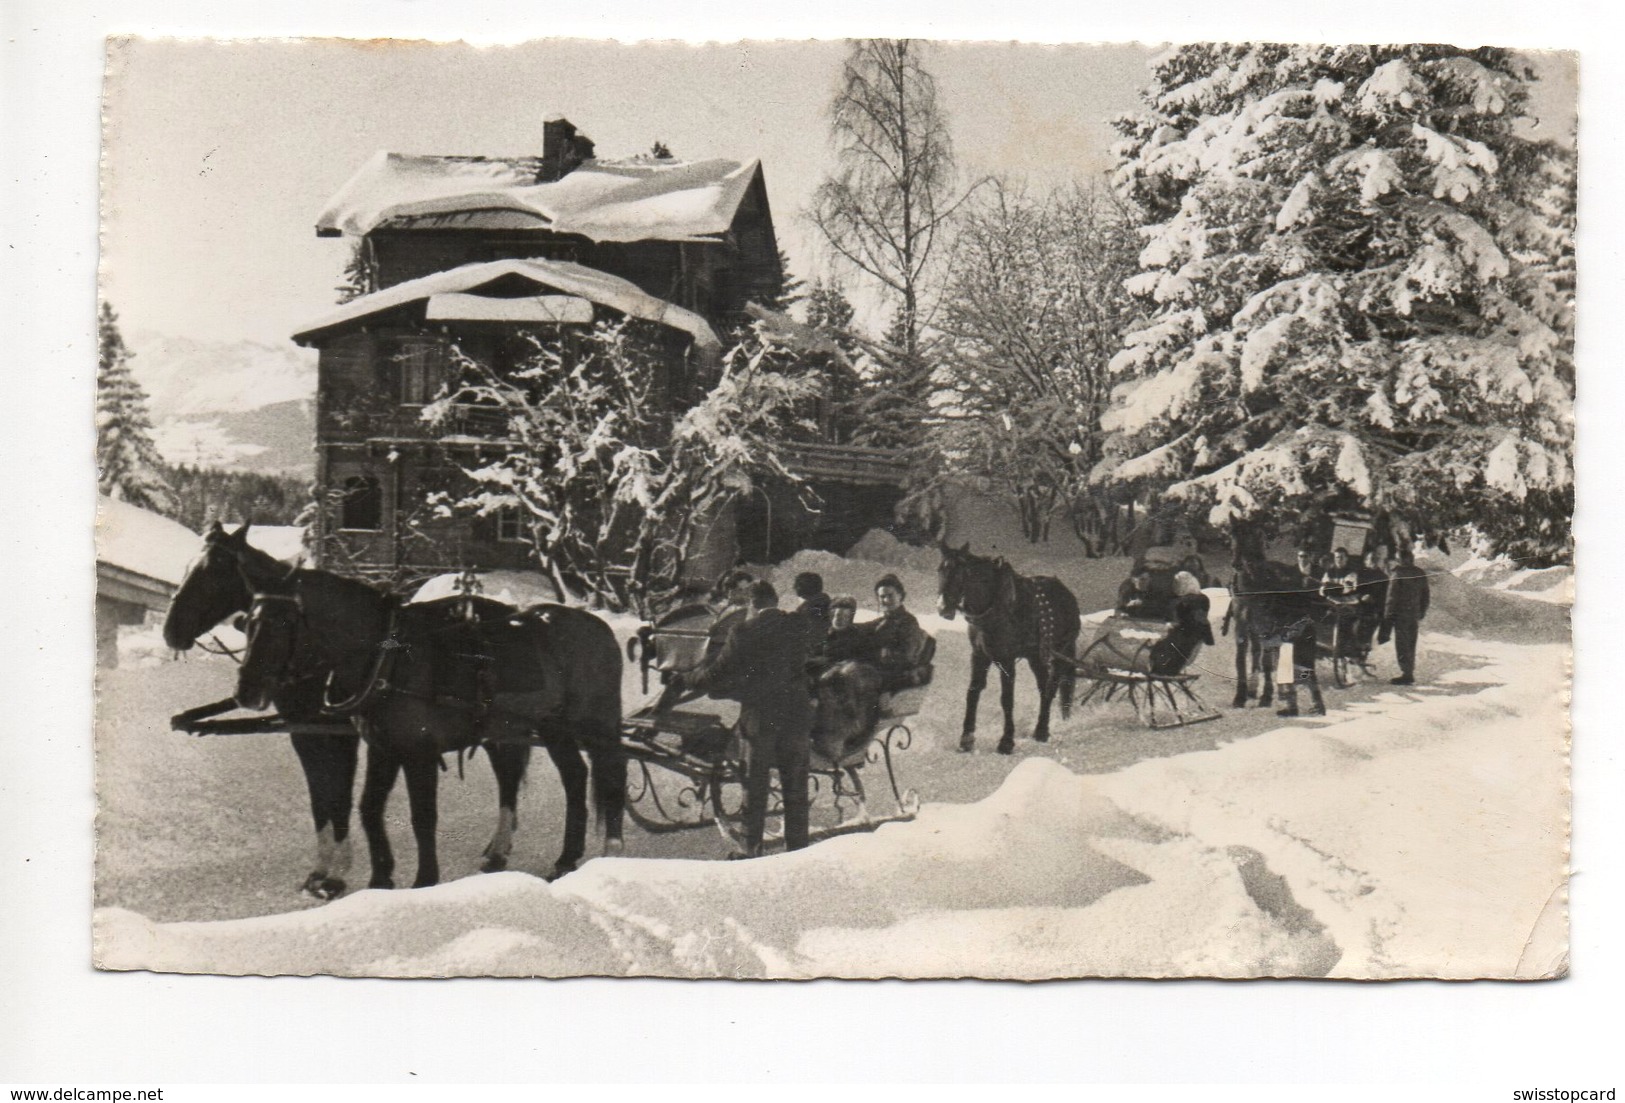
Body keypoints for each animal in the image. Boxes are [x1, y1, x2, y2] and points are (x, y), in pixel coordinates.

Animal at [942, 545, 1079, 753]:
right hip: (1036, 657)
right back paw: (1041, 728)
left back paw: (1042, 730)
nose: (942, 608)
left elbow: (1007, 699)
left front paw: (1006, 741)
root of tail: (1067, 594)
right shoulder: (979, 655)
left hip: (1061, 651)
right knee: (1044, 686)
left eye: (960, 574)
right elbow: (973, 692)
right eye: (940, 571)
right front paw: (966, 739)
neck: (996, 608)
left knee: (1052, 686)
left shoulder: (1006, 659)